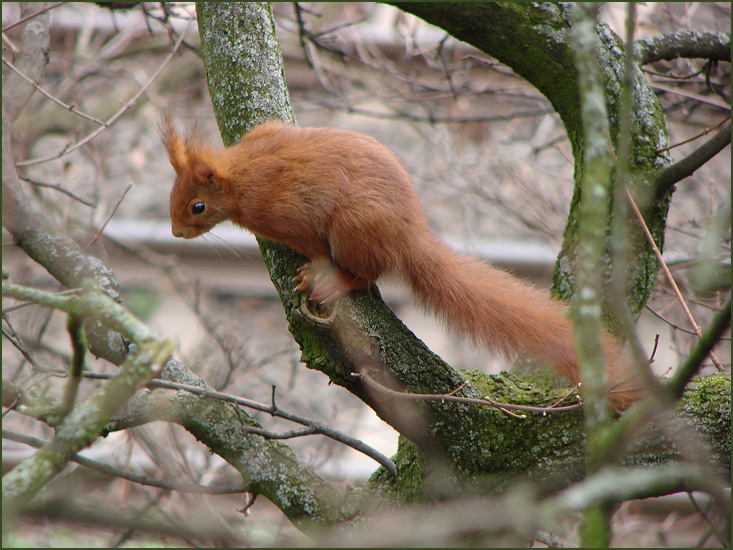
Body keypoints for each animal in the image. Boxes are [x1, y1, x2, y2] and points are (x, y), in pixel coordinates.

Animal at [161, 117, 640, 410]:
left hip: (354, 228)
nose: (176, 233)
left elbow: (309, 241)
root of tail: (409, 237)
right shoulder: (264, 136)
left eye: (198, 207)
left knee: (366, 273)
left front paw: (314, 266)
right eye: (173, 194)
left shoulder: (285, 210)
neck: (240, 172)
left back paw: (333, 279)